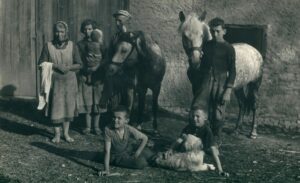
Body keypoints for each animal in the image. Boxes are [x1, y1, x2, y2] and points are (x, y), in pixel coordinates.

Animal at [178, 11, 262, 139]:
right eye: (185, 36)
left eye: (201, 35)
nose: (195, 61)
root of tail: (254, 51)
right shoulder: (197, 87)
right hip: (238, 86)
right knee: (242, 104)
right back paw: (236, 130)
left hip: (255, 84)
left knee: (254, 105)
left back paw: (253, 132)